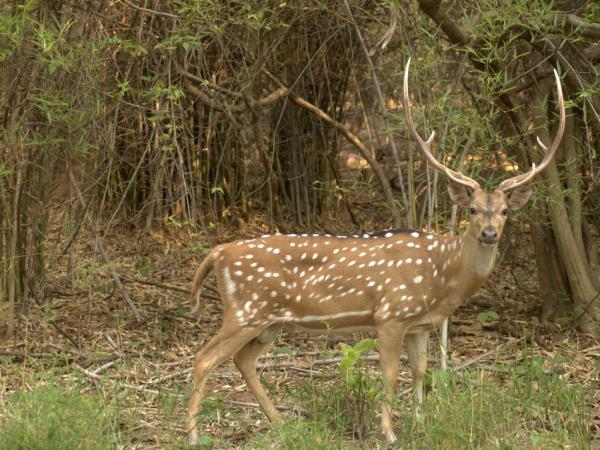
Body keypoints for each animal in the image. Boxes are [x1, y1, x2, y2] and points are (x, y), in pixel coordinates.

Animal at [186, 59, 564, 442]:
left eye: (505, 211)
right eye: (471, 209)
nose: (489, 233)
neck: (441, 277)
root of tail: (218, 253)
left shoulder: (419, 324)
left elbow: (420, 372)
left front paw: (420, 424)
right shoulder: (391, 313)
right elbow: (389, 374)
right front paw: (389, 433)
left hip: (270, 321)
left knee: (243, 360)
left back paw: (282, 424)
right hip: (246, 309)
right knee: (204, 358)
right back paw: (193, 434)